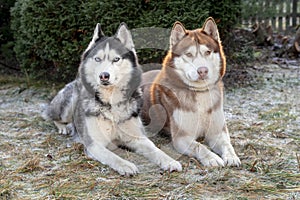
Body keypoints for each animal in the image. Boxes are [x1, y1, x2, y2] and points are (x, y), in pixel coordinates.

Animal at [42, 22, 182, 175]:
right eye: (97, 59)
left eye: (116, 59)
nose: (104, 75)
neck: (111, 102)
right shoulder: (94, 144)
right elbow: (112, 156)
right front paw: (126, 165)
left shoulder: (138, 138)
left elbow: (155, 149)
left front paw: (170, 161)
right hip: (69, 103)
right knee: (51, 116)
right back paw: (63, 127)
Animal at [141, 17, 241, 167]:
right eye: (188, 54)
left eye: (207, 52)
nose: (203, 70)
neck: (200, 93)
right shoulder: (182, 137)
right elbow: (200, 146)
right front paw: (212, 158)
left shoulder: (217, 132)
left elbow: (227, 144)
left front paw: (231, 156)